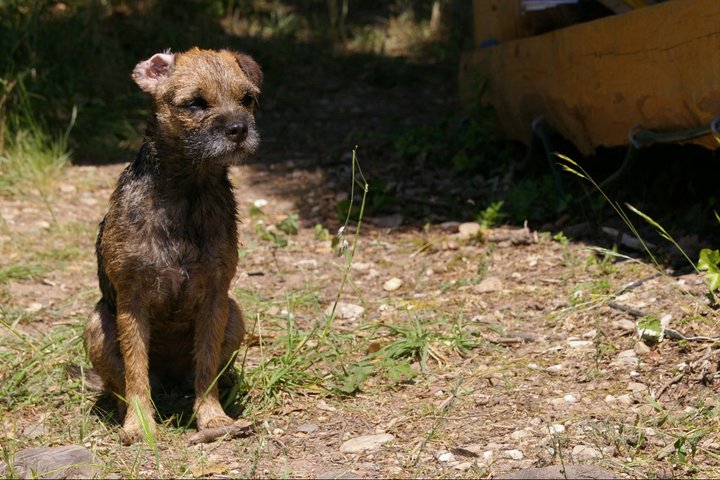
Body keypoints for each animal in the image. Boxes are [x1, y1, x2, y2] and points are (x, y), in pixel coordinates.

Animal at [84, 48, 262, 444]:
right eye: (195, 103)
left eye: (247, 99)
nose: (238, 129)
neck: (188, 190)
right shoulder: (132, 303)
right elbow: (136, 373)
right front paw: (139, 424)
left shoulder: (215, 297)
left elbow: (206, 368)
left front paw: (213, 419)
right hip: (97, 324)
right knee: (122, 385)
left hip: (235, 314)